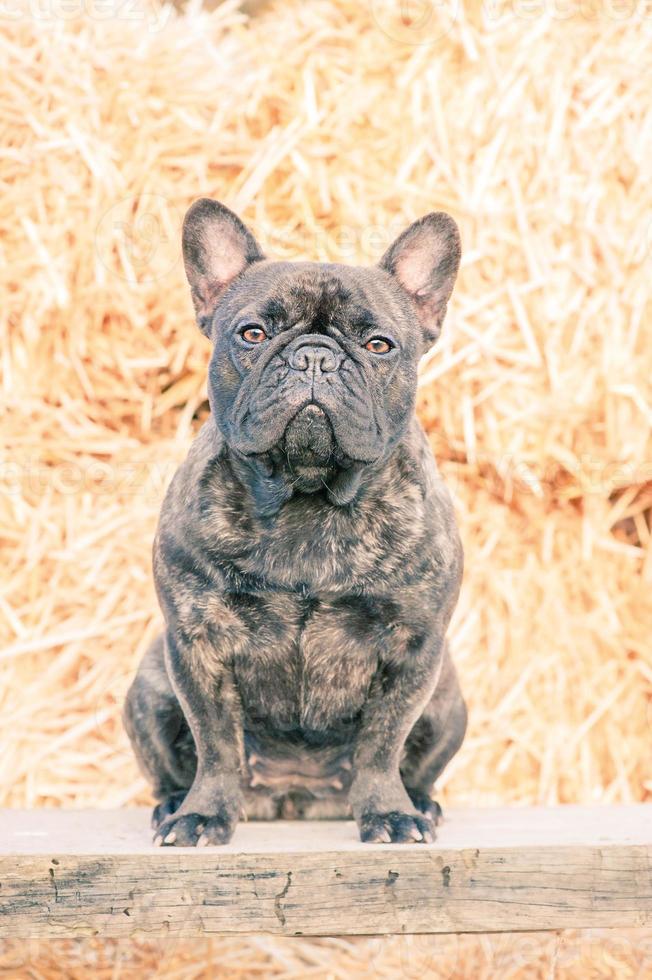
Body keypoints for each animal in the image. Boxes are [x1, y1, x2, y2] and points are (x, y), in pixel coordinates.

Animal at [123, 197, 468, 844]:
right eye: (253, 334)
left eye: (379, 345)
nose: (314, 356)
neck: (307, 501)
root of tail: (295, 796)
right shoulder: (196, 644)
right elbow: (216, 743)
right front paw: (204, 814)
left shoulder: (412, 649)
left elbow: (382, 744)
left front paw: (388, 813)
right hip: (150, 687)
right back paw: (176, 804)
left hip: (448, 701)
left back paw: (418, 803)